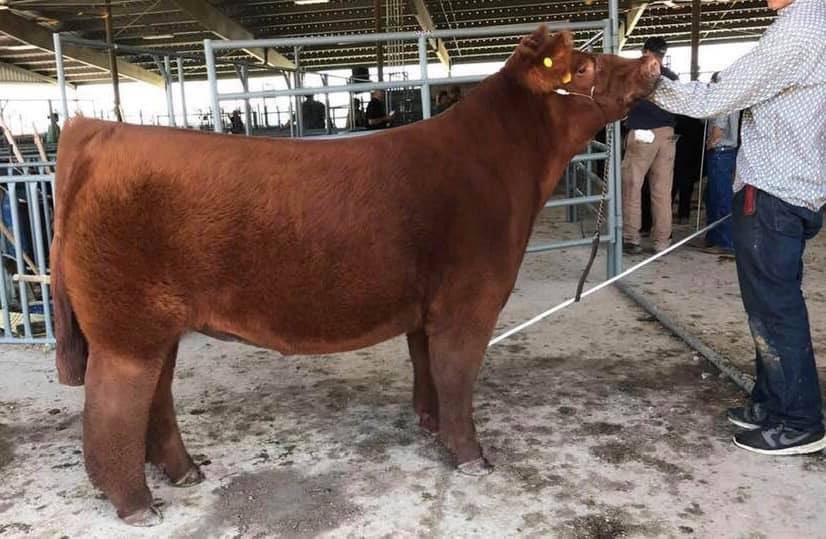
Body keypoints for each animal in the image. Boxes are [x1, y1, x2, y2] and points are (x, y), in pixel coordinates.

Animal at [51, 27, 661, 525]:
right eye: (583, 65)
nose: (653, 59)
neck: (501, 169)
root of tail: (99, 132)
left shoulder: (426, 308)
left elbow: (427, 369)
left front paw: (430, 427)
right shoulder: (470, 300)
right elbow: (458, 376)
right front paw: (472, 457)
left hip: (157, 327)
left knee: (156, 399)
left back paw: (185, 472)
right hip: (127, 330)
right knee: (112, 410)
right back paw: (139, 505)